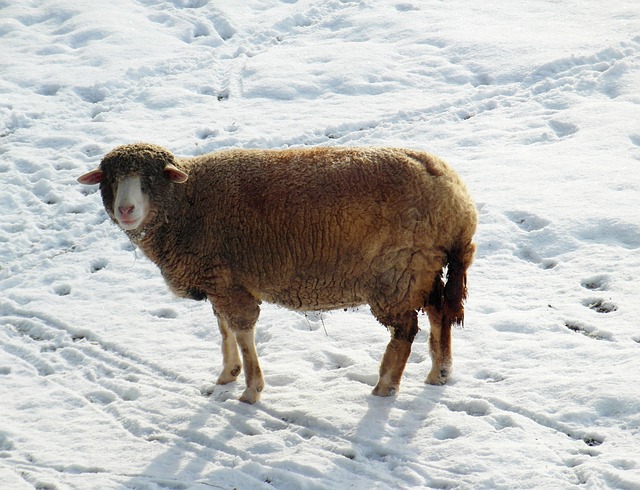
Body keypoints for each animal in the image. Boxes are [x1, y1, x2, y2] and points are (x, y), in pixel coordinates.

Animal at [77, 144, 478, 404]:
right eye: (110, 180)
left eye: (150, 179)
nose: (126, 209)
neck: (185, 203)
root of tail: (458, 203)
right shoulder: (220, 278)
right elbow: (224, 329)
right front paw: (228, 374)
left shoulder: (227, 282)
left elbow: (242, 331)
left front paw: (251, 390)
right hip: (422, 267)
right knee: (439, 312)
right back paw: (439, 373)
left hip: (397, 272)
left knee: (405, 329)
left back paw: (385, 386)